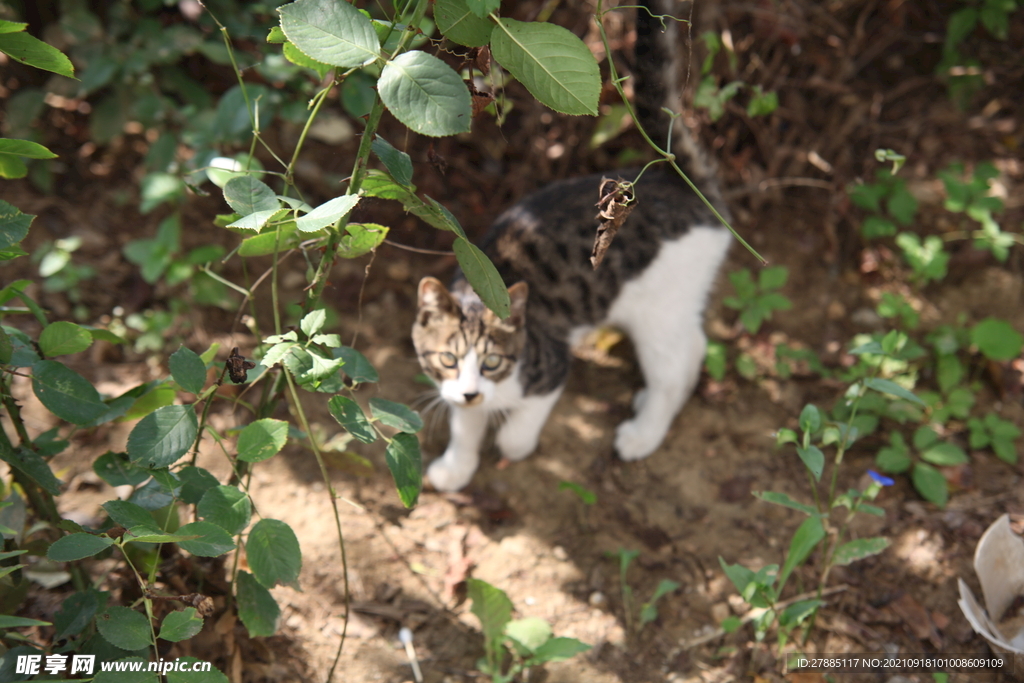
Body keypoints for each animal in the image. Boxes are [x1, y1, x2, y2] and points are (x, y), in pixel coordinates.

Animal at [411, 0, 733, 491]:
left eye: (491, 362)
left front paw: (512, 443)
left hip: (659, 311)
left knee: (675, 367)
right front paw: (457, 465)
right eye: (448, 359)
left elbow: (517, 427)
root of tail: (675, 183)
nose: (469, 391)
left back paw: (643, 433)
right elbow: (465, 422)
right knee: (694, 345)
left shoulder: (553, 366)